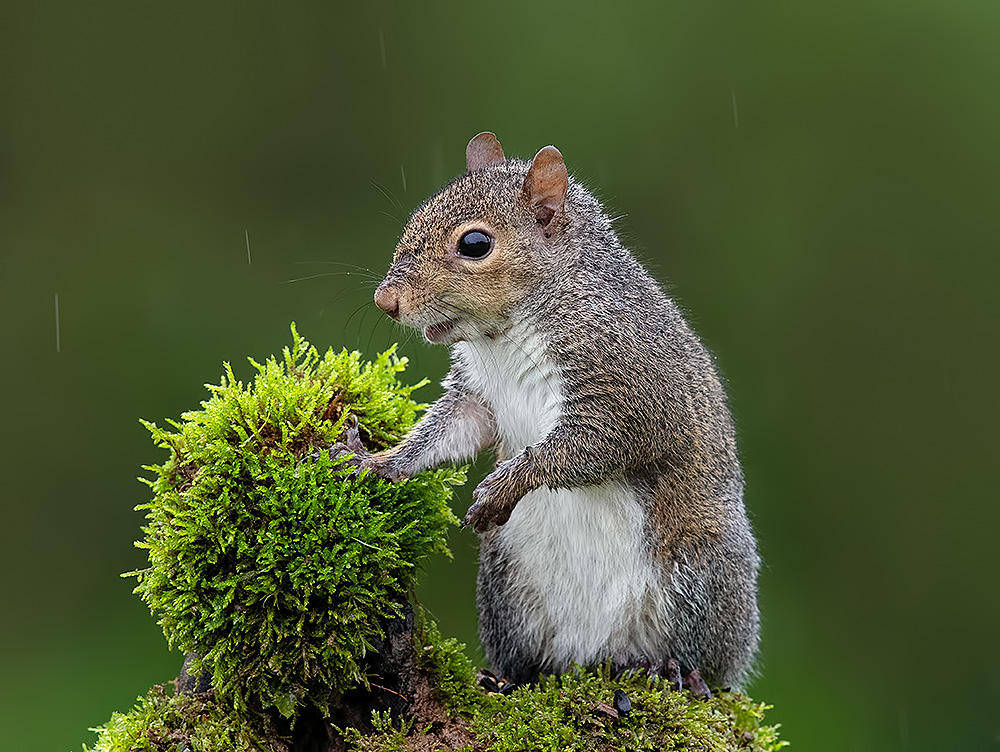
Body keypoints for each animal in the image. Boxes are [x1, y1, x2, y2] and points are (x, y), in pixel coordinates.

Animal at [336, 132, 756, 692]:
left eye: (475, 244)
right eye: (414, 218)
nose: (386, 301)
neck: (505, 334)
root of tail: (595, 656)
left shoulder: (629, 383)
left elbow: (595, 445)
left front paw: (505, 484)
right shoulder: (478, 395)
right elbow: (449, 430)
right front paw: (379, 462)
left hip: (700, 574)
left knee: (704, 662)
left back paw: (675, 671)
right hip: (506, 587)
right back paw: (508, 678)